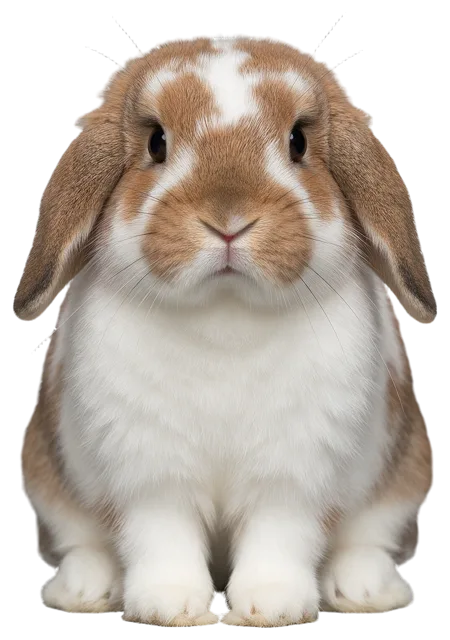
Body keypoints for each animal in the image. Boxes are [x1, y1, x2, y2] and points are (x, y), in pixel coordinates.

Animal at [15, 34, 435, 627]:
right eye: (157, 143)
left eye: (298, 142)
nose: (229, 219)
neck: (225, 319)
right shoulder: (150, 474)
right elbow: (161, 536)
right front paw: (171, 603)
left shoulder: (293, 475)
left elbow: (279, 536)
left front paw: (270, 604)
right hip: (46, 474)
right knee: (81, 542)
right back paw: (84, 590)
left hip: (405, 471)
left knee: (369, 538)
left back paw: (364, 590)